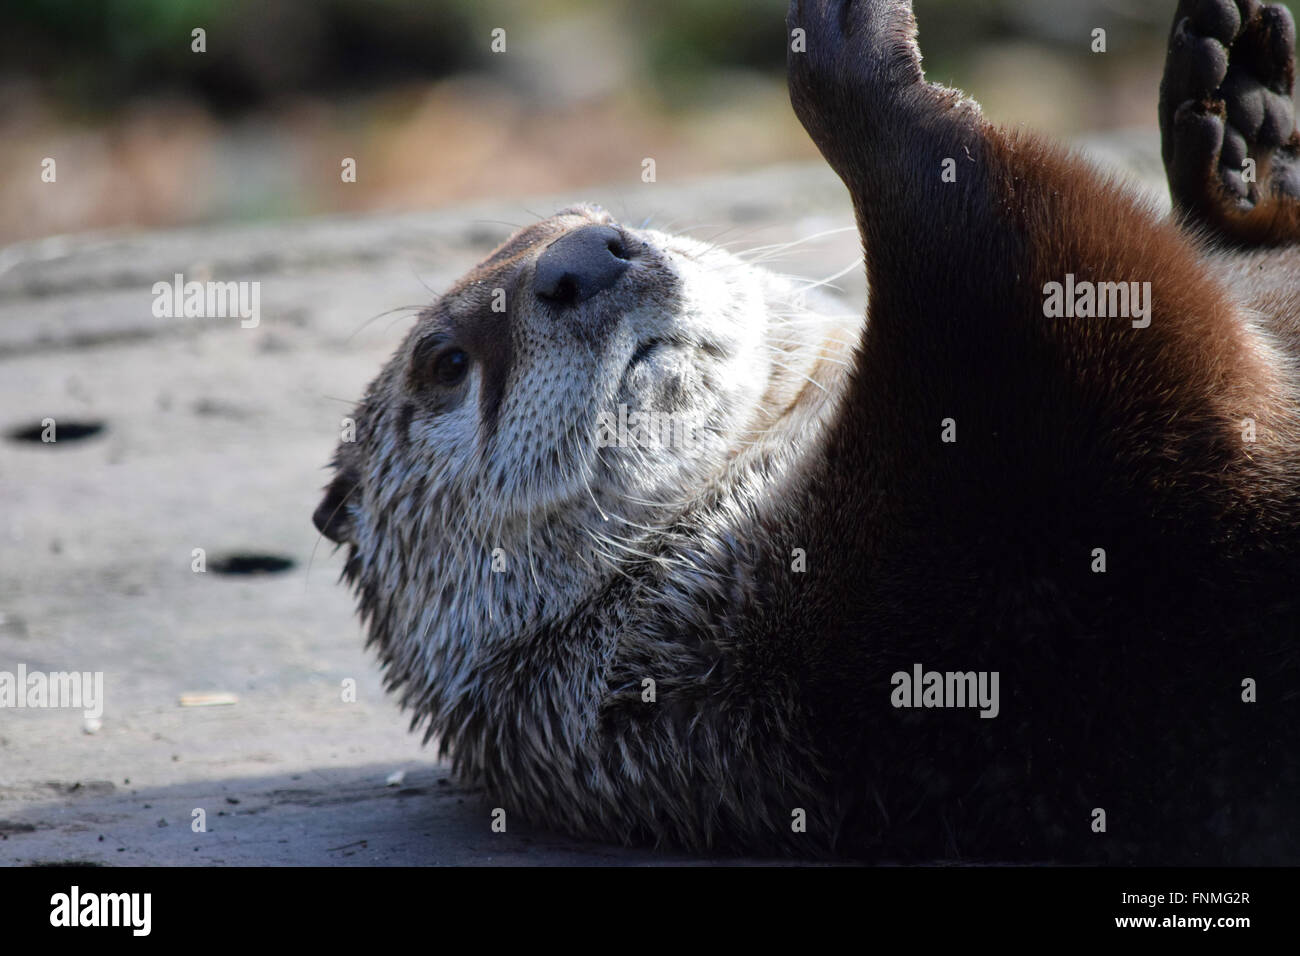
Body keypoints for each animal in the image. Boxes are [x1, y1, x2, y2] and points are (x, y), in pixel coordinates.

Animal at [317, 0, 1300, 863]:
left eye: (588, 219)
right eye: (445, 361)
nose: (584, 257)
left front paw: (1239, 135)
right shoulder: (978, 555)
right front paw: (851, 70)